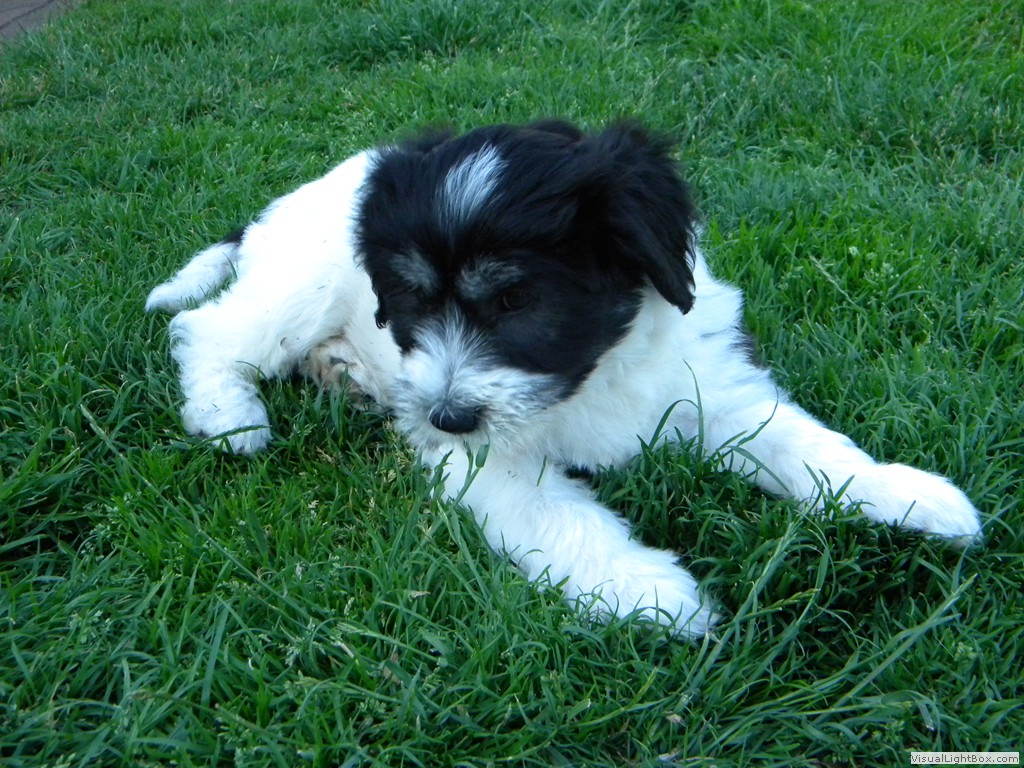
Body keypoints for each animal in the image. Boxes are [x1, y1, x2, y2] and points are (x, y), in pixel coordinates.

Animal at [146, 120, 982, 637]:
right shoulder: (485, 461)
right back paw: (230, 416)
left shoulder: (710, 384)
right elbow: (561, 517)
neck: (592, 375)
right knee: (206, 330)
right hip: (301, 282)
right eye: (413, 299)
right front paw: (654, 594)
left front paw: (908, 495)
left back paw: (340, 370)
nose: (445, 418)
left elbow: (805, 445)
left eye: (517, 302)